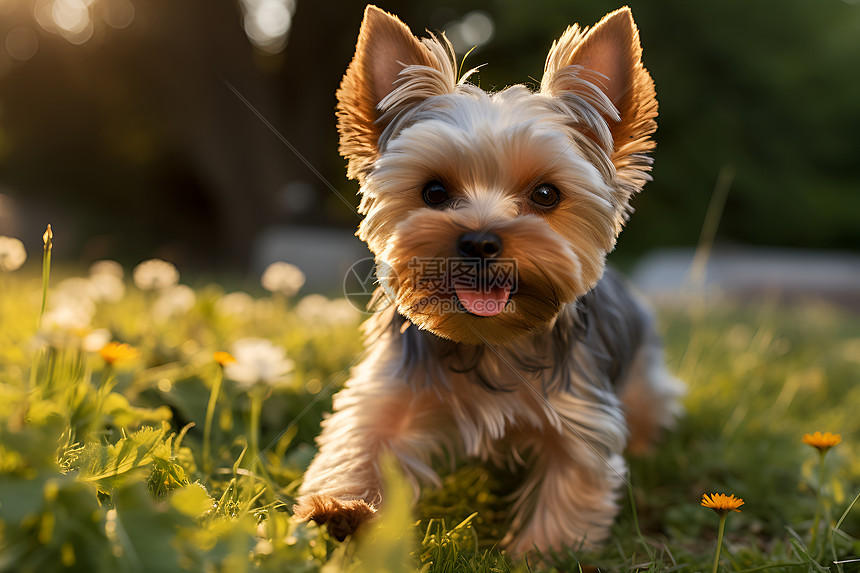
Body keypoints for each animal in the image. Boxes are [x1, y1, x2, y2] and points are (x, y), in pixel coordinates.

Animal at [296, 3, 684, 548]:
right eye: (434, 191)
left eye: (546, 194)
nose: (479, 241)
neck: (490, 342)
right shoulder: (389, 388)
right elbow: (360, 439)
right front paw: (342, 509)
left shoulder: (581, 414)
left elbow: (573, 483)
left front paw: (537, 553)